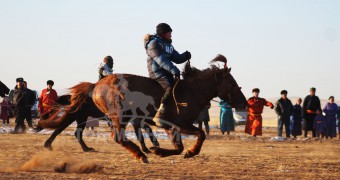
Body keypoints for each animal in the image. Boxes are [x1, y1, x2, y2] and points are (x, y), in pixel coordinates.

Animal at [58, 54, 246, 162]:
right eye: (231, 83)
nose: (243, 102)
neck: (190, 92)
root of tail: (96, 86)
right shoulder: (178, 125)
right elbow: (199, 136)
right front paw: (187, 152)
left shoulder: (173, 127)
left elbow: (183, 145)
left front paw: (161, 151)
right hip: (119, 117)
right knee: (118, 137)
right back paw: (141, 155)